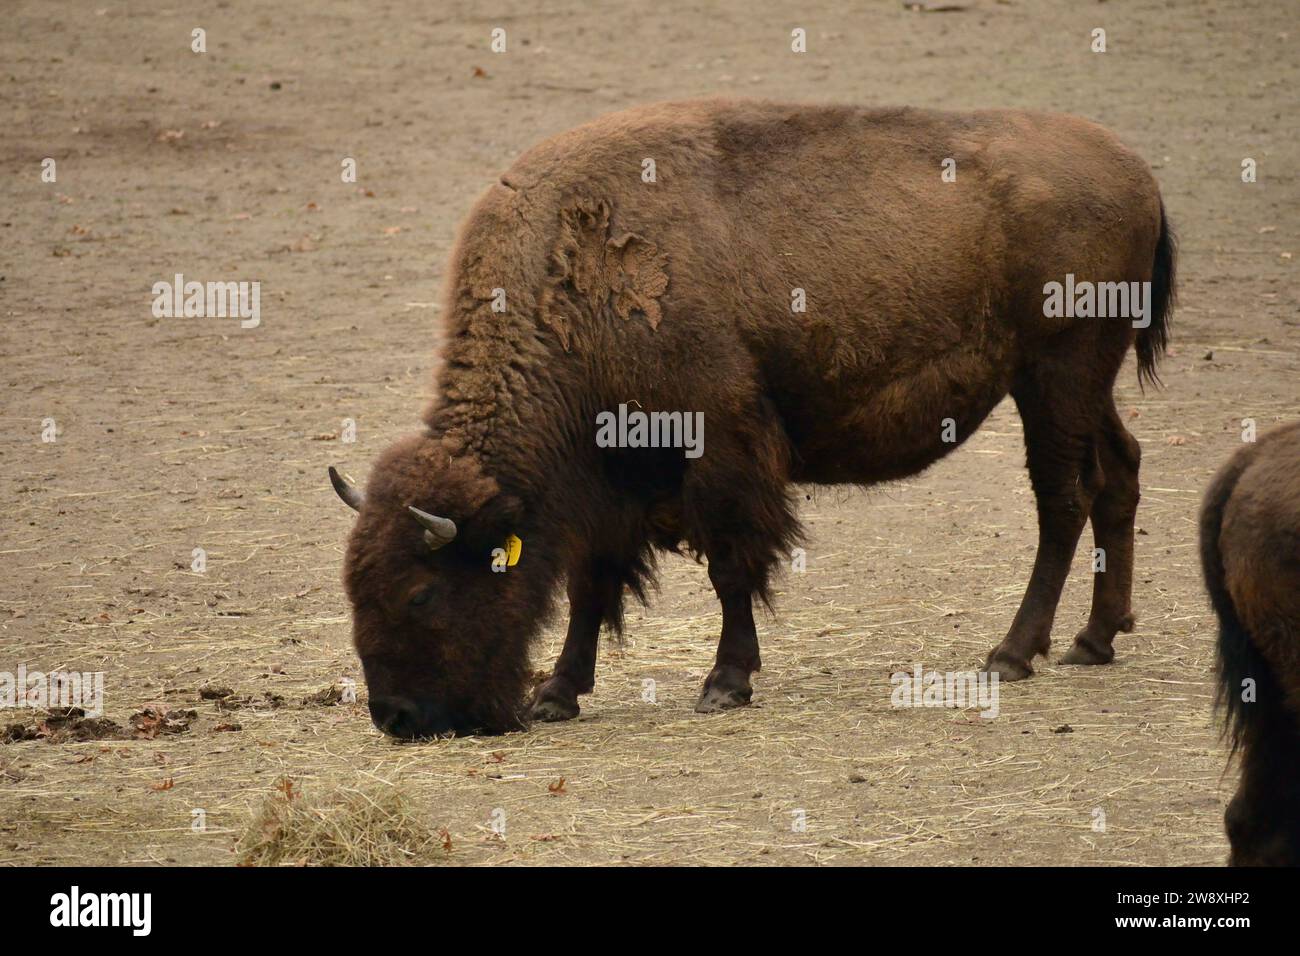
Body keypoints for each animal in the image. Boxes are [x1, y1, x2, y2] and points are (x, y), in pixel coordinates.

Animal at [327, 98, 1180, 738]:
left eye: (420, 594)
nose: (396, 717)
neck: (569, 285)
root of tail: (1138, 171)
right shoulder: (609, 485)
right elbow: (591, 583)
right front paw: (557, 694)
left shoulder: (719, 447)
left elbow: (730, 566)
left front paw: (725, 681)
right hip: (1082, 387)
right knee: (1119, 474)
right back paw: (1094, 639)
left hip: (1055, 379)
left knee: (1063, 499)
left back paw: (1013, 652)